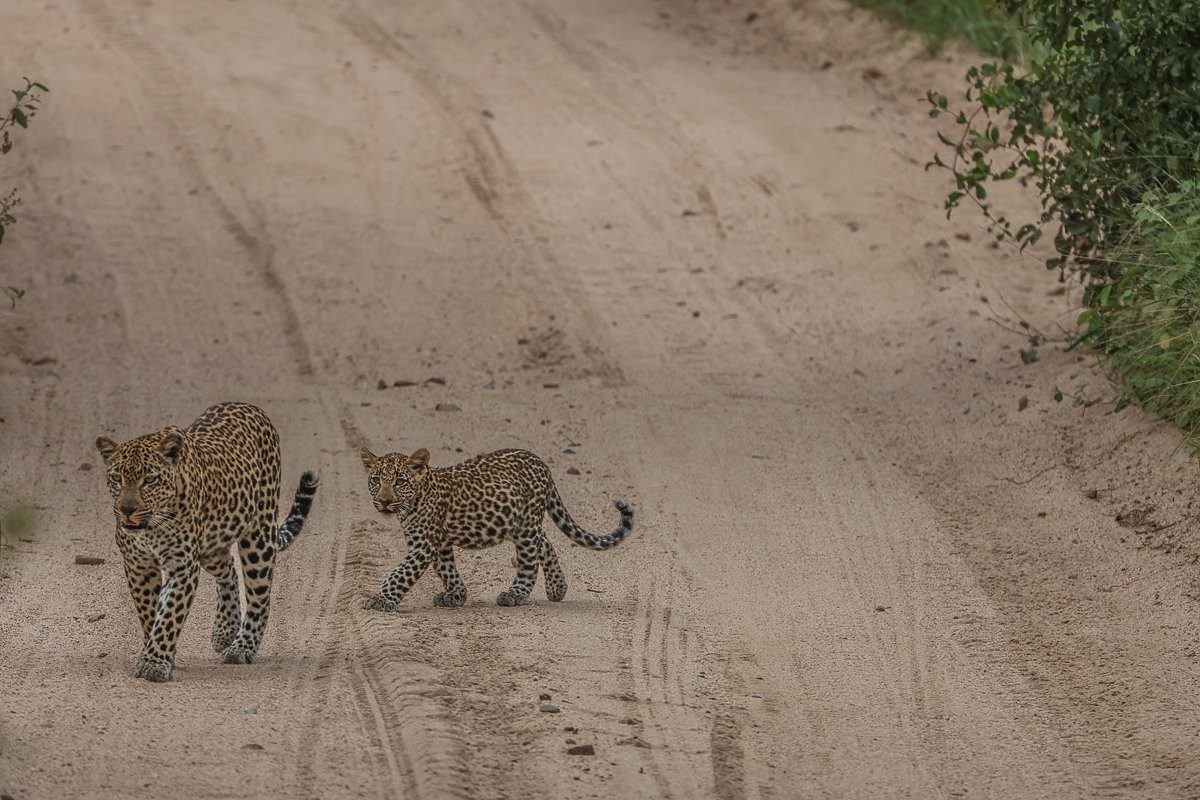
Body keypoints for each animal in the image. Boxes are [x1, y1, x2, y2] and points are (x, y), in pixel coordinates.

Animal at [95, 401, 319, 682]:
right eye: (117, 478)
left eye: (150, 480)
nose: (126, 509)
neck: (152, 525)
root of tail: (248, 405)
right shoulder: (138, 565)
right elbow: (150, 613)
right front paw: (156, 652)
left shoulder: (182, 566)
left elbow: (169, 615)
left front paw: (155, 663)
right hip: (211, 547)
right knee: (229, 570)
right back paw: (225, 629)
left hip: (259, 536)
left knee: (259, 597)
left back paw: (242, 647)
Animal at [358, 446, 634, 611]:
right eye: (376, 480)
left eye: (399, 482)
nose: (383, 501)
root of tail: (540, 462)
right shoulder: (439, 543)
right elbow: (446, 569)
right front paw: (456, 595)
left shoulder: (423, 545)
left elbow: (399, 574)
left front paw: (381, 599)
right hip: (515, 522)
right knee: (545, 542)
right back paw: (557, 588)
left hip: (525, 526)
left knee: (529, 562)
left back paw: (516, 594)